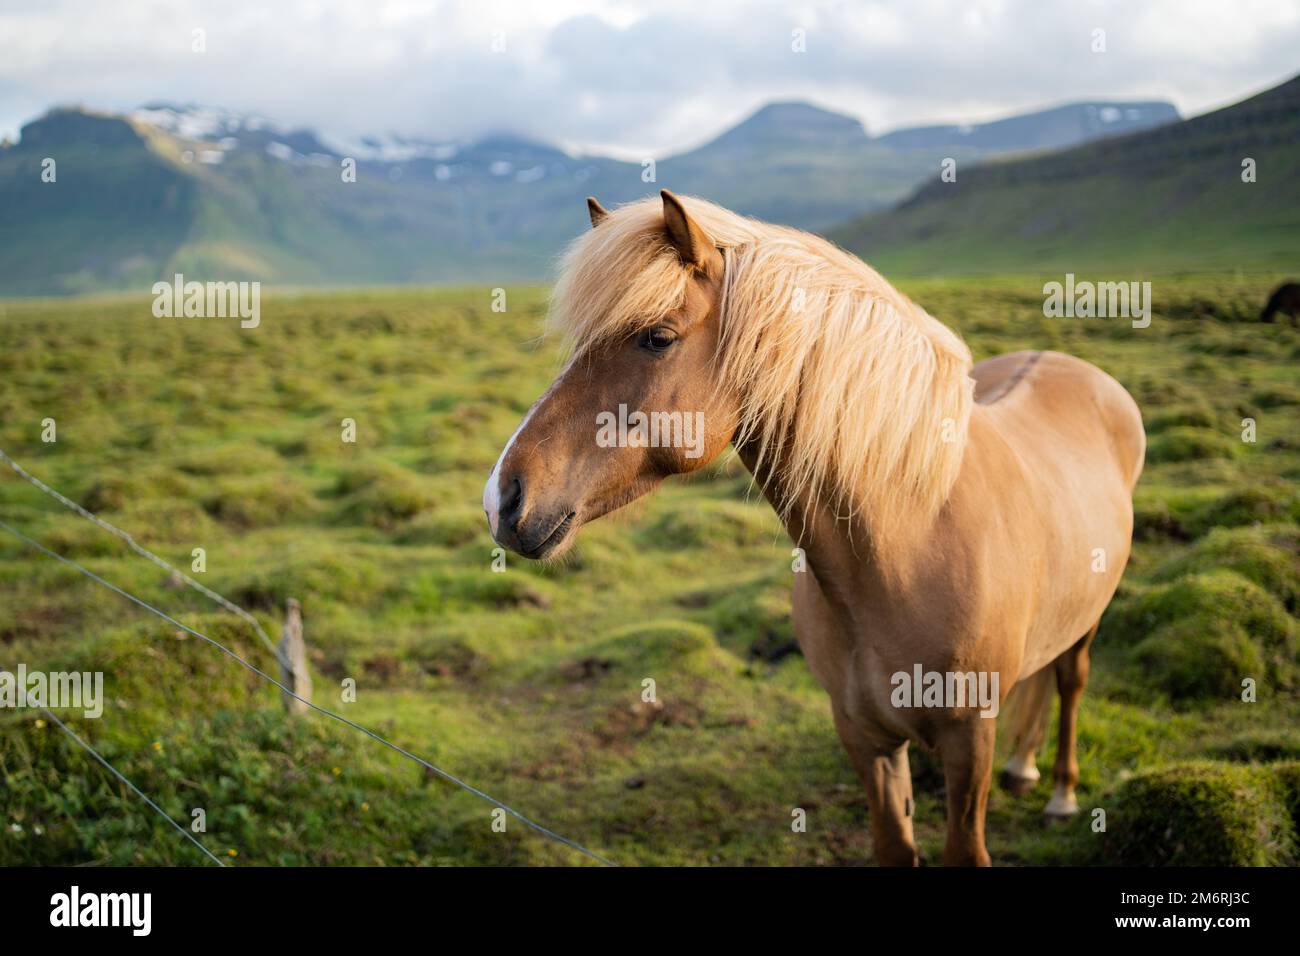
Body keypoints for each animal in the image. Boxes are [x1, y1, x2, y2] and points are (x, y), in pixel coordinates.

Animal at [483, 190, 1145, 866]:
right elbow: (894, 844)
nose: (503, 499)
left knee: (1070, 679)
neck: (909, 547)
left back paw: (1062, 793)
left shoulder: (968, 745)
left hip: (1087, 621)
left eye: (657, 337)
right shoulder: (864, 738)